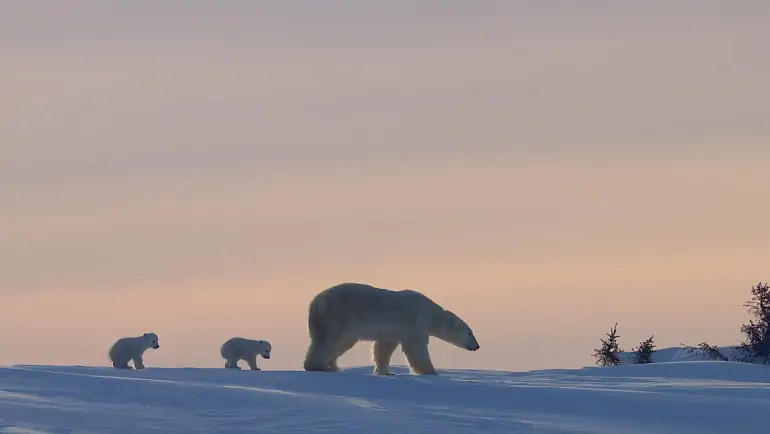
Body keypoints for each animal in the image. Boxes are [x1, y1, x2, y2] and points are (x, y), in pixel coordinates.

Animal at [302, 284, 476, 374]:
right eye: (470, 333)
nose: (477, 346)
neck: (432, 313)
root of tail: (314, 303)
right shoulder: (416, 322)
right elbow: (417, 348)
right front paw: (431, 371)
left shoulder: (392, 331)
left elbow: (383, 348)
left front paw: (385, 371)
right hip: (335, 316)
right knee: (326, 341)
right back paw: (317, 366)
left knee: (339, 344)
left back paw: (333, 367)